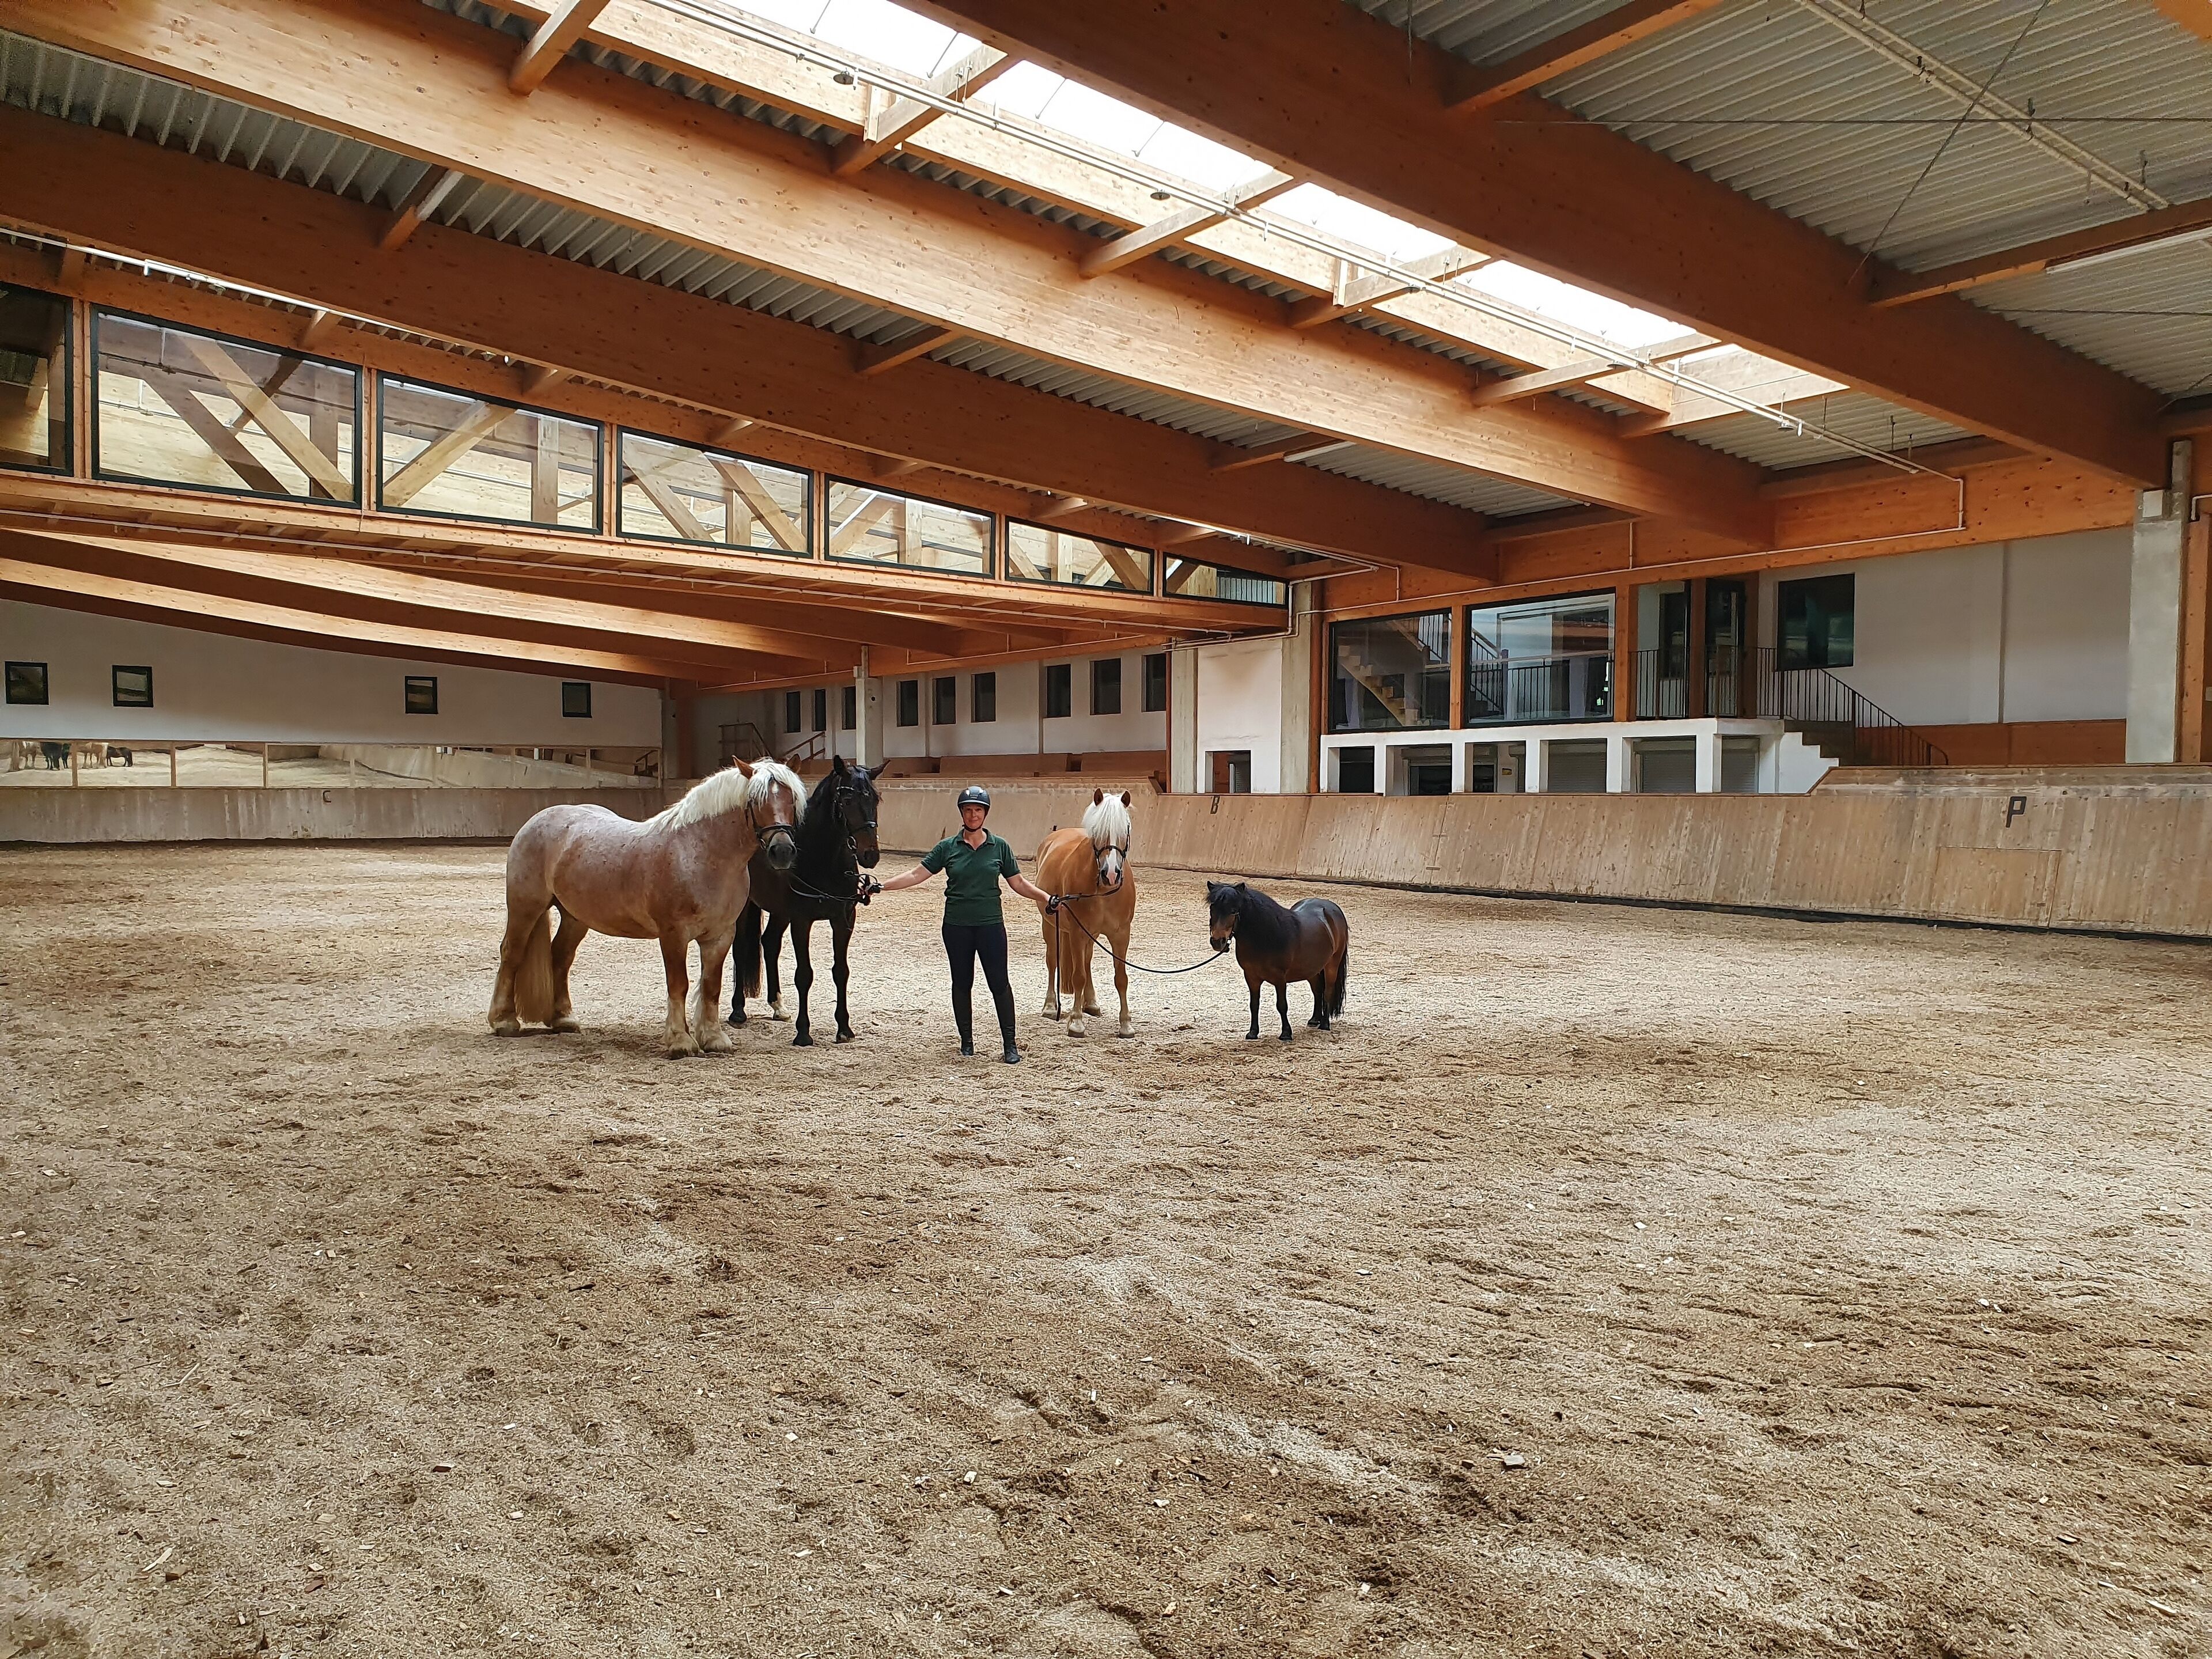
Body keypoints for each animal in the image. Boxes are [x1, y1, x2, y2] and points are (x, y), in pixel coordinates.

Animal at [488, 758, 803, 1056]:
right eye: (756, 801)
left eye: (791, 800)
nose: (782, 852)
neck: (699, 854)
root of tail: (538, 820)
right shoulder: (674, 935)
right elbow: (679, 984)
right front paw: (680, 1041)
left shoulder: (720, 936)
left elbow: (711, 986)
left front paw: (714, 1039)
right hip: (526, 907)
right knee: (512, 953)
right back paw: (504, 1021)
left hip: (575, 917)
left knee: (561, 957)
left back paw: (563, 1019)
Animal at [730, 756, 882, 1046]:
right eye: (847, 800)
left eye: (876, 799)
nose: (870, 854)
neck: (823, 858)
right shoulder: (802, 921)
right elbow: (804, 975)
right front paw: (803, 1033)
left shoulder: (843, 920)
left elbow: (841, 971)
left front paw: (844, 1028)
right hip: (746, 909)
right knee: (741, 949)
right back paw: (738, 1011)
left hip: (780, 912)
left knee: (770, 943)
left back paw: (778, 1006)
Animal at [1033, 788, 1136, 1038]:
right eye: (1097, 831)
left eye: (1125, 829)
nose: (1111, 874)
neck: (1103, 891)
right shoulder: (1078, 933)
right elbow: (1077, 976)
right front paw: (1076, 1022)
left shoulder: (1121, 935)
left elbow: (1121, 978)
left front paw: (1126, 1025)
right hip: (1050, 927)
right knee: (1053, 962)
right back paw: (1050, 1007)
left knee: (1087, 962)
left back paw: (1091, 1004)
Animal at [1205, 880, 1349, 1042]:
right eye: (1212, 908)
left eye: (1233, 911)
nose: (1218, 942)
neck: (1265, 938)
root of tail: (1332, 909)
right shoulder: (1251, 977)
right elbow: (1254, 1005)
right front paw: (1253, 1033)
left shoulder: (1280, 978)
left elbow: (1282, 1005)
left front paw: (1286, 1034)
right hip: (1312, 969)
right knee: (1317, 991)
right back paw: (1314, 1020)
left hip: (1332, 965)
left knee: (1328, 991)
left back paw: (1324, 1024)